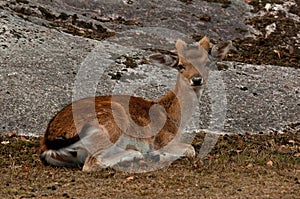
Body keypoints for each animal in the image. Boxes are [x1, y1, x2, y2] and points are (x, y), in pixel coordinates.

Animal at [40, 37, 232, 171]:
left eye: (207, 63)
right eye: (180, 65)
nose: (197, 79)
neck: (176, 120)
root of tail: (48, 143)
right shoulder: (162, 139)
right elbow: (190, 149)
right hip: (113, 121)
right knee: (92, 163)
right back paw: (140, 154)